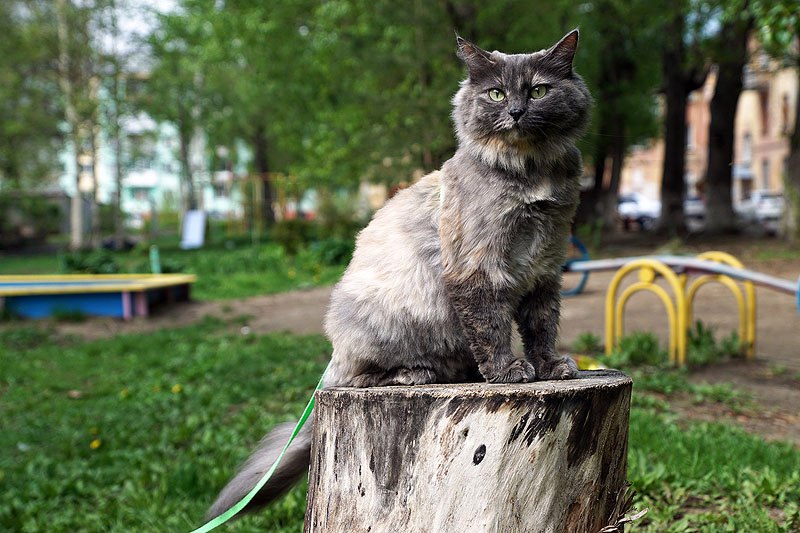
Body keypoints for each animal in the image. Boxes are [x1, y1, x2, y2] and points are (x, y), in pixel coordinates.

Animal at [206, 29, 591, 520]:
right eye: (496, 93)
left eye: (539, 90)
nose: (517, 111)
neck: (530, 173)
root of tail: (334, 359)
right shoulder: (478, 271)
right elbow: (492, 328)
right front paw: (508, 371)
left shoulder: (544, 270)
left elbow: (541, 328)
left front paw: (550, 367)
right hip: (375, 328)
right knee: (360, 377)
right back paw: (414, 375)